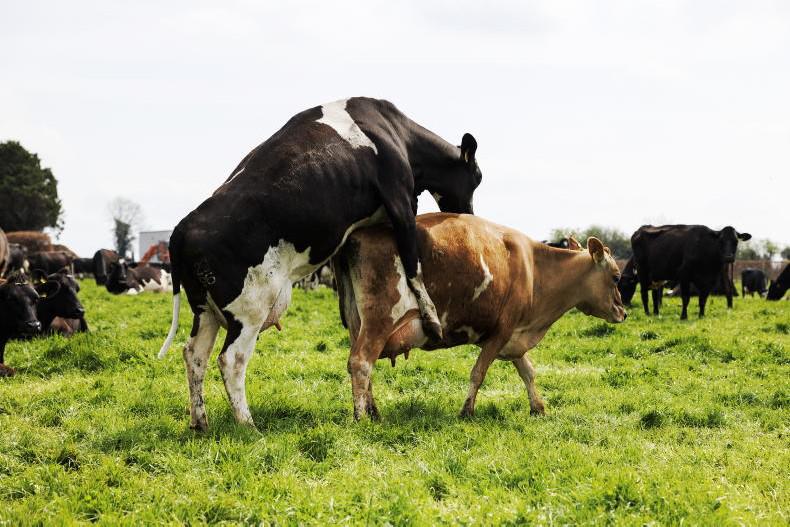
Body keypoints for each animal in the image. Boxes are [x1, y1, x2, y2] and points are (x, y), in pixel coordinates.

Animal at [157, 97, 482, 431]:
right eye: (477, 177)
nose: (468, 214)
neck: (395, 132)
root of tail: (183, 228)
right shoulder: (401, 203)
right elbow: (412, 264)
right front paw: (431, 317)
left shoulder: (346, 241)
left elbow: (348, 303)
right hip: (250, 308)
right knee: (231, 359)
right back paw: (247, 425)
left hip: (205, 309)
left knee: (194, 355)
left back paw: (200, 422)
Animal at [331, 213, 626, 420]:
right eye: (616, 276)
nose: (622, 313)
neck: (535, 270)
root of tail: (355, 237)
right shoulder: (501, 331)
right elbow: (478, 372)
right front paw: (466, 411)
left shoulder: (513, 336)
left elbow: (528, 372)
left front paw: (538, 407)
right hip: (380, 321)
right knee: (361, 362)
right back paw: (360, 417)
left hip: (357, 324)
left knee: (362, 367)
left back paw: (373, 412)